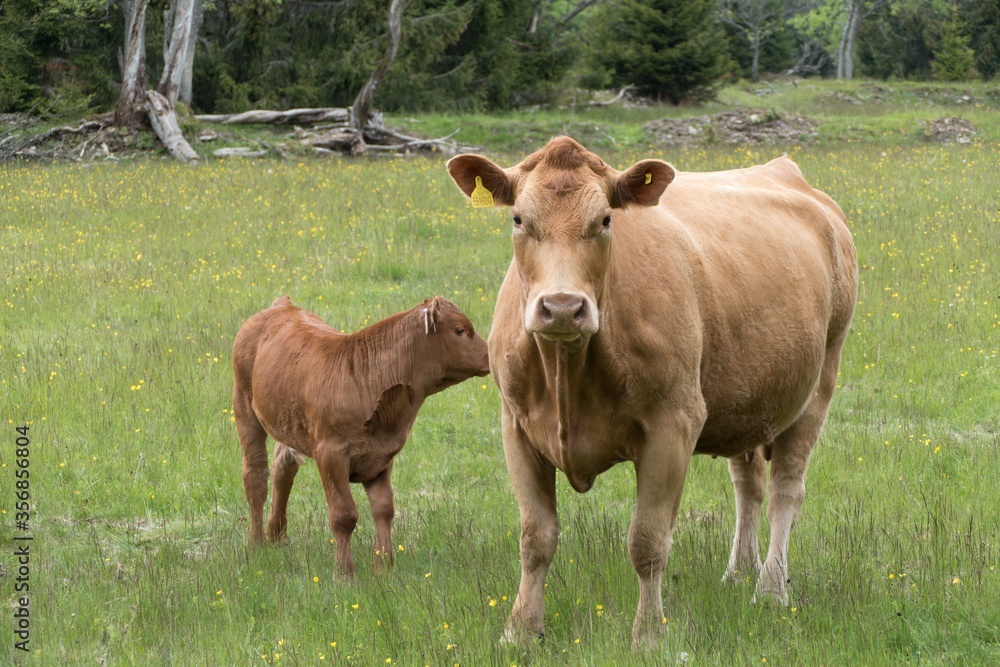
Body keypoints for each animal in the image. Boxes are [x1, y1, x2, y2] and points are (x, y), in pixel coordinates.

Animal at [230, 296, 488, 580]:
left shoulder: (383, 454)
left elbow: (384, 509)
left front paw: (383, 568)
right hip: (244, 406)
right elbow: (344, 515)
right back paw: (256, 544)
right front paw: (344, 573)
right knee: (255, 476)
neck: (366, 381)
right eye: (460, 330)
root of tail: (282, 305)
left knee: (283, 466)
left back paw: (277, 536)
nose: (489, 355)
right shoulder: (330, 454)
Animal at [448, 137, 860, 648]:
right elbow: (535, 537)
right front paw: (521, 630)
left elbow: (647, 540)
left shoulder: (673, 425)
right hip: (745, 398)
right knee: (748, 485)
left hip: (819, 382)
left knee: (787, 490)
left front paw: (648, 634)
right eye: (519, 219)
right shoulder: (516, 426)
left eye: (606, 219)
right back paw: (737, 572)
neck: (568, 366)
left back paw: (769, 588)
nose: (562, 307)